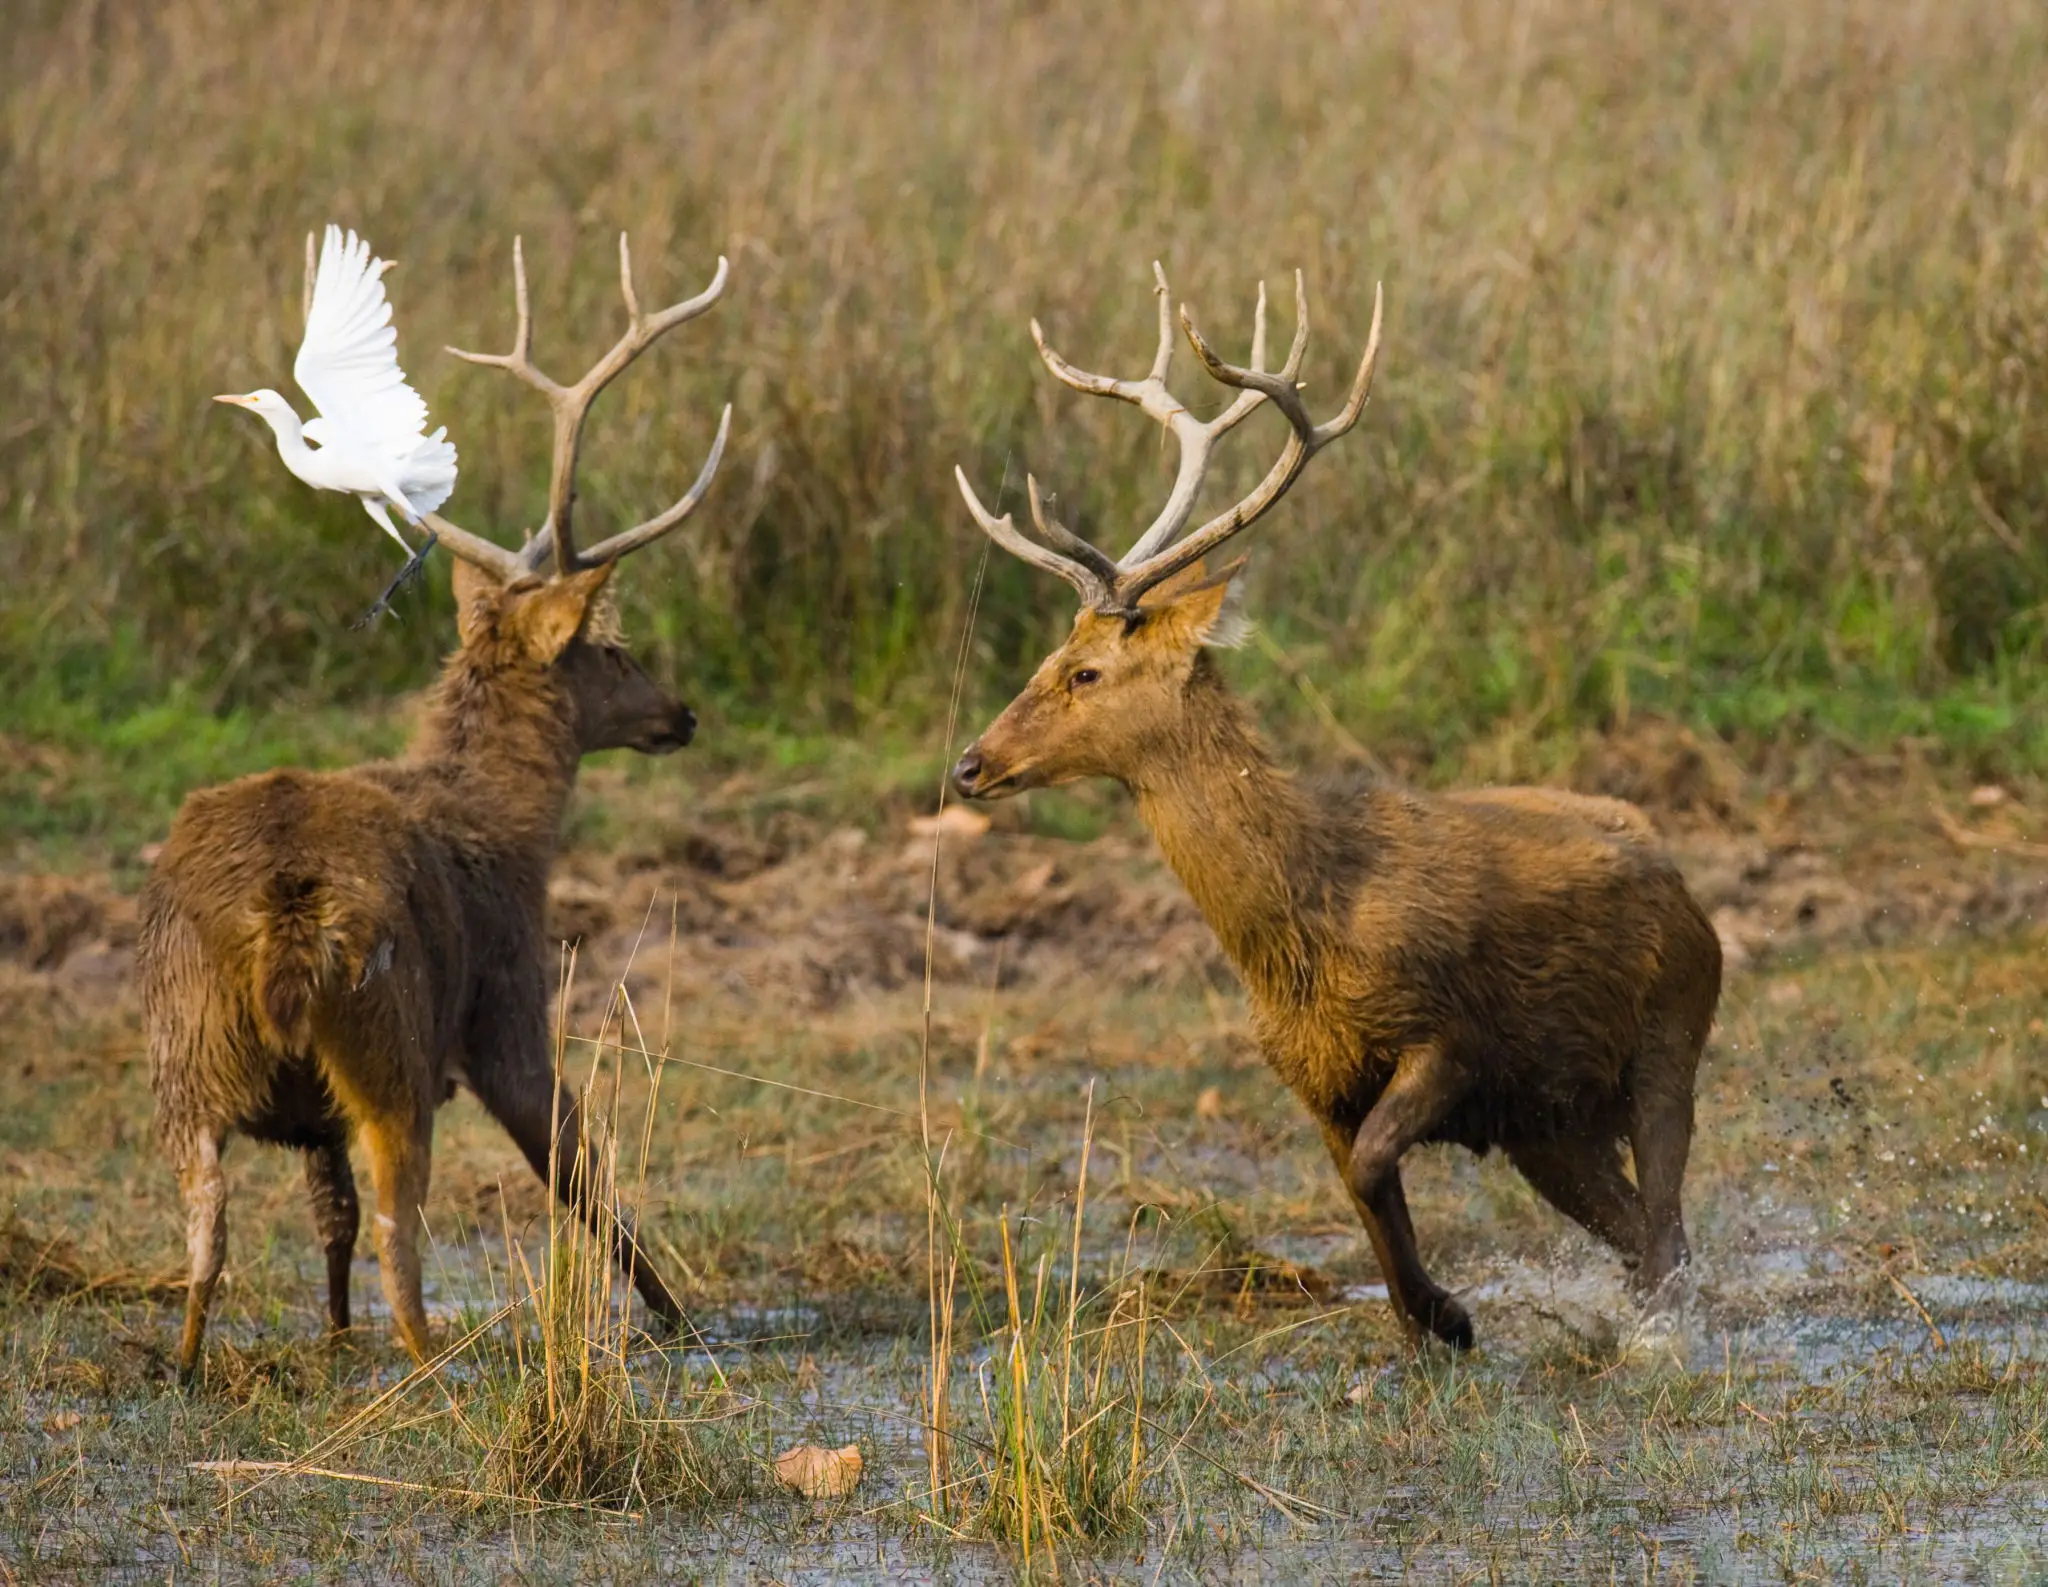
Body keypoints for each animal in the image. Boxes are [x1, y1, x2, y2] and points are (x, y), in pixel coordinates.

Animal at [143, 234, 732, 1379]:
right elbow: (583, 1177)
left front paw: (330, 1335)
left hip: (183, 1051)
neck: (506, 829)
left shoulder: (312, 1114)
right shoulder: (510, 1005)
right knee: (397, 1227)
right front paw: (679, 1316)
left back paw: (190, 1360)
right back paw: (427, 1360)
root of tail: (286, 917)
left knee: (211, 1226)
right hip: (393, 1042)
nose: (681, 714)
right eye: (613, 648)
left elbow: (322, 1221)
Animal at [948, 264, 1722, 1349]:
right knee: (1635, 1224)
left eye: (1086, 671)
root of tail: (1684, 883)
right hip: (1551, 1117)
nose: (971, 764)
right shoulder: (1311, 1076)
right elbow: (1361, 1194)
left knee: (1665, 1224)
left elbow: (1371, 1164)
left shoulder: (1452, 1032)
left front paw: (1448, 1311)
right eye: (1050, 656)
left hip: (1672, 1025)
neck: (1297, 934)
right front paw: (1429, 1315)